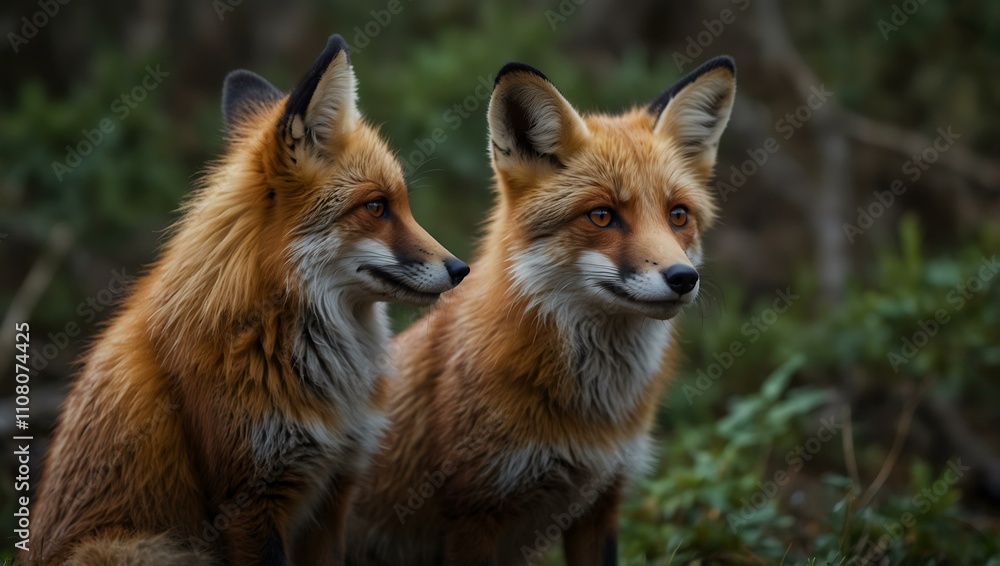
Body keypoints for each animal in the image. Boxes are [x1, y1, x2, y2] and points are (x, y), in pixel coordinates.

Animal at [25, 34, 468, 566]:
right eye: (377, 206)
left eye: (401, 204)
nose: (460, 269)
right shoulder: (248, 499)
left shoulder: (336, 486)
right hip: (144, 549)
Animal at [345, 56, 736, 565]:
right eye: (602, 216)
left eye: (679, 216)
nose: (683, 278)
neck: (590, 419)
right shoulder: (474, 511)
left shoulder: (600, 502)